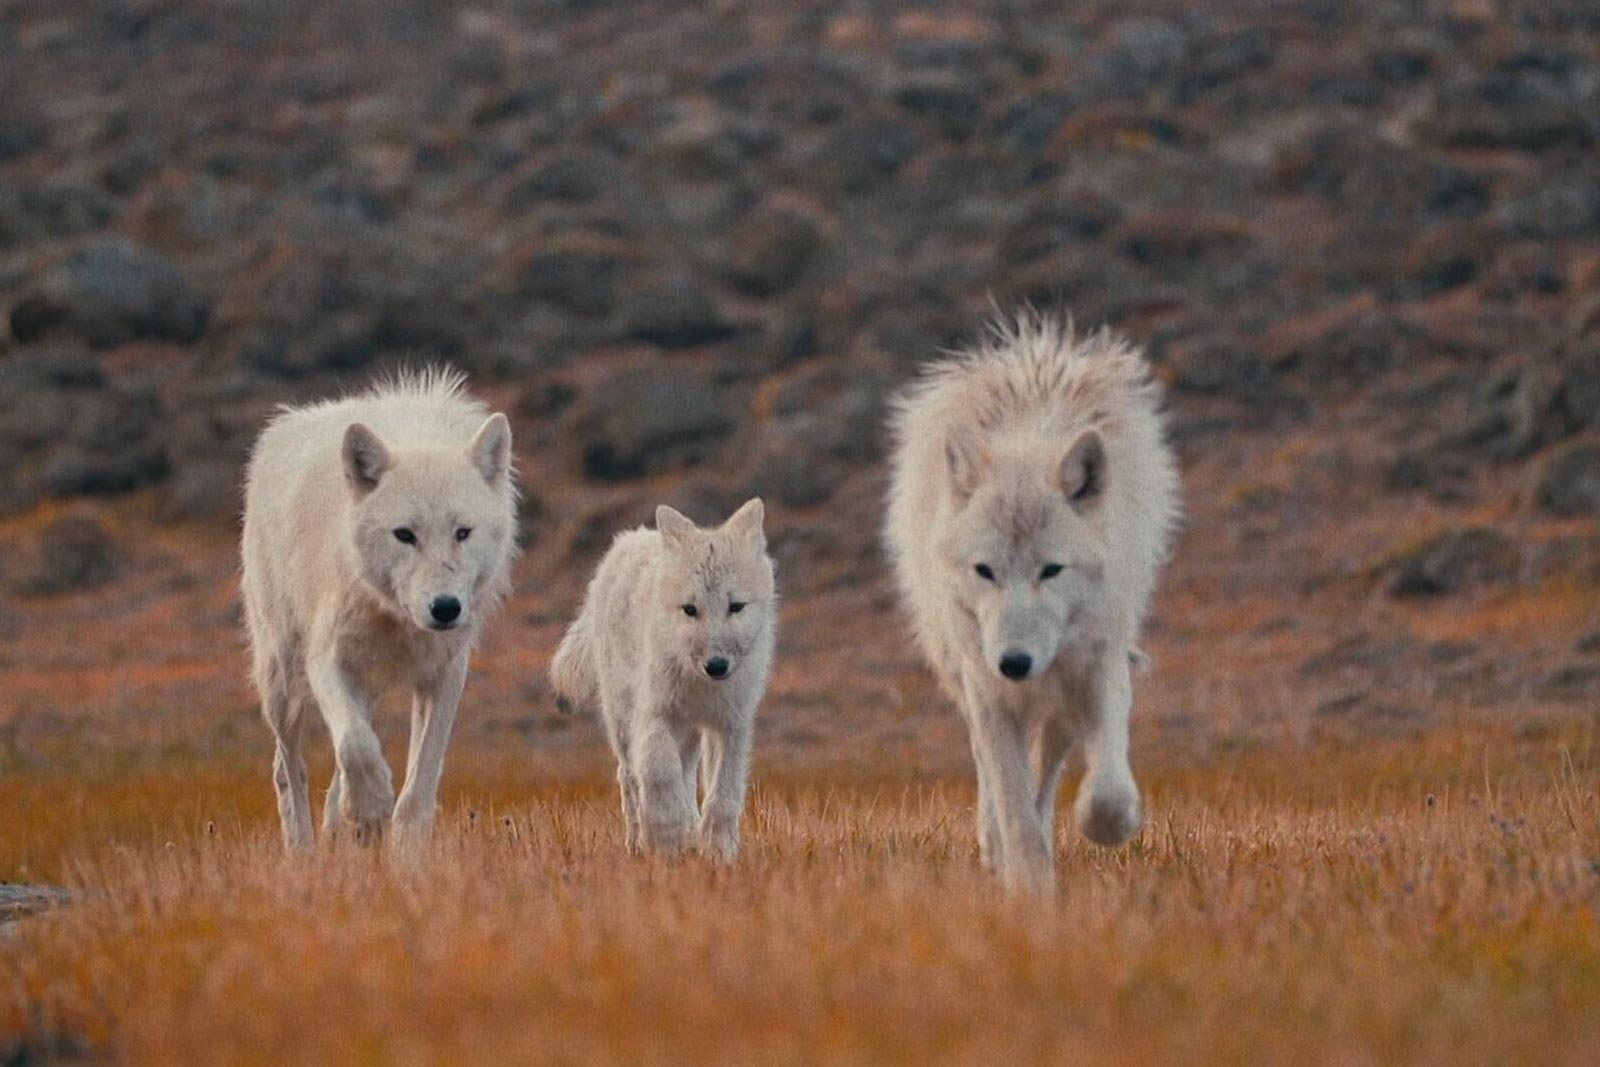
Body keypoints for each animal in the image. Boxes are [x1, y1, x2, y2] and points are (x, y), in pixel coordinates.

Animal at [241, 370, 518, 850]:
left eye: (463, 532)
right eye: (404, 534)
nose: (445, 608)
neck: (397, 618)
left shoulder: (445, 674)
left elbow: (417, 787)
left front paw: (404, 850)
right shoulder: (326, 661)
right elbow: (355, 744)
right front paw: (370, 808)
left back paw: (342, 829)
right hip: (281, 681)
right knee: (288, 769)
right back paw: (304, 851)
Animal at [551, 499, 775, 859]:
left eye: (736, 607)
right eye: (690, 609)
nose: (716, 666)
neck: (699, 685)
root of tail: (626, 540)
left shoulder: (731, 725)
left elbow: (723, 796)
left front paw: (718, 851)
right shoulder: (655, 714)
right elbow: (660, 777)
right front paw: (668, 844)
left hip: (690, 734)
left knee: (687, 774)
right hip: (624, 724)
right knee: (630, 779)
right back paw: (639, 843)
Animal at [885, 312, 1180, 890]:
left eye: (1051, 570)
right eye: (985, 570)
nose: (1015, 663)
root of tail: (1030, 353)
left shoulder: (1099, 668)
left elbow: (1106, 789)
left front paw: (1109, 826)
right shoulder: (989, 692)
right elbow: (1013, 806)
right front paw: (1028, 890)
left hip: (1059, 704)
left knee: (1048, 776)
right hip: (967, 683)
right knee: (997, 781)